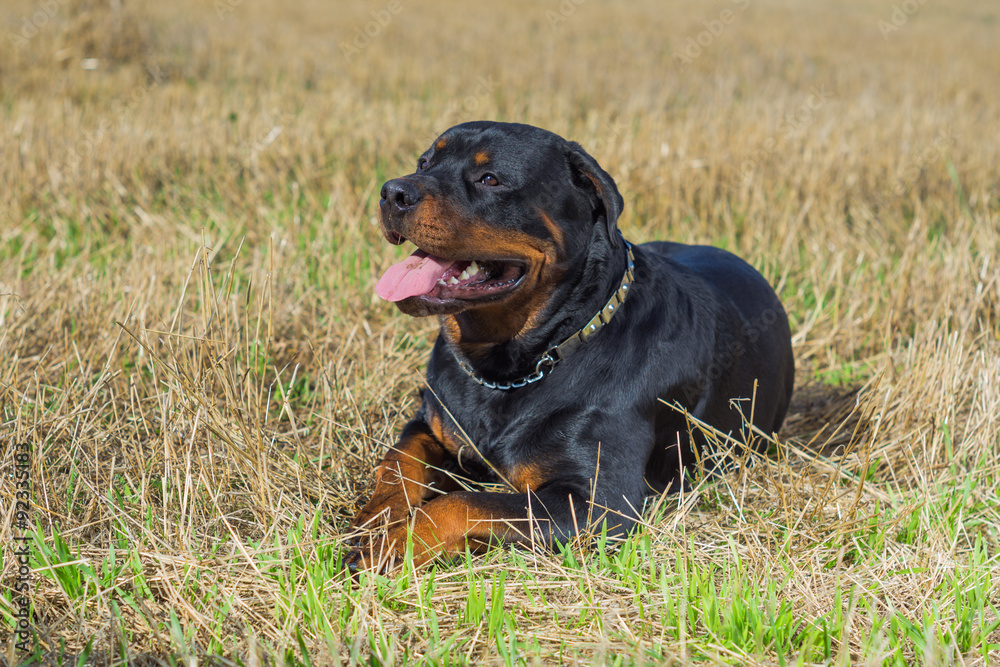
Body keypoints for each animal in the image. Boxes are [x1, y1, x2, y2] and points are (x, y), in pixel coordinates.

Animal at [348, 122, 792, 572]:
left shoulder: (597, 504)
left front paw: (387, 547)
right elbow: (398, 461)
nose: (393, 192)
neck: (512, 366)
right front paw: (375, 519)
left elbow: (462, 503)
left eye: (490, 179)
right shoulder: (429, 422)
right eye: (424, 163)